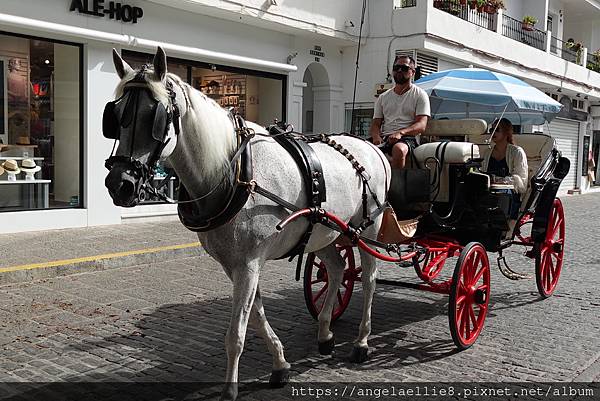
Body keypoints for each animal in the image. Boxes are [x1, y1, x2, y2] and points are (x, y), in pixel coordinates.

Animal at [104, 47, 390, 400]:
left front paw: (230, 390)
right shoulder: (234, 264)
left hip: (367, 229)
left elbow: (236, 332)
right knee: (337, 269)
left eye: (155, 116)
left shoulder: (249, 263)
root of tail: (372, 146)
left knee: (369, 280)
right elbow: (255, 315)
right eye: (115, 115)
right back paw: (325, 334)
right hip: (324, 232)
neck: (235, 171)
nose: (120, 184)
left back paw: (362, 342)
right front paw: (280, 364)